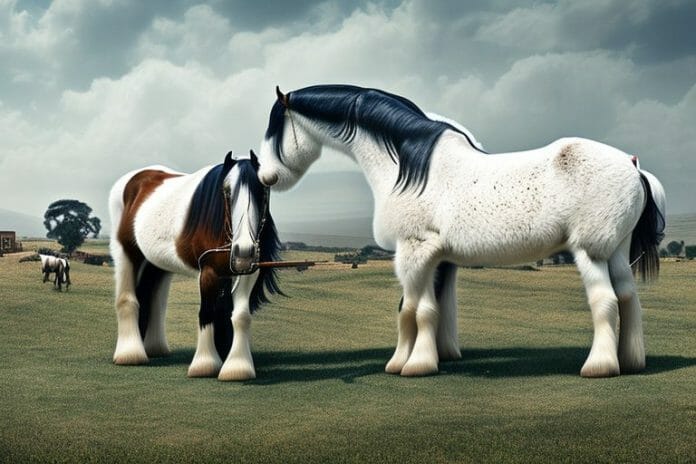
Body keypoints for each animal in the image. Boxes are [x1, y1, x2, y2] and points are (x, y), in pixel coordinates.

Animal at [108, 151, 281, 381]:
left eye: (262, 192)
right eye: (227, 192)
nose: (244, 251)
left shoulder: (247, 273)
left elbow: (240, 316)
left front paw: (237, 367)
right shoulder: (208, 272)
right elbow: (206, 313)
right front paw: (205, 365)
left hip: (157, 263)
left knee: (153, 298)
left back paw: (154, 348)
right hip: (126, 252)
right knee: (127, 299)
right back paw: (130, 354)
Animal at [256, 84, 666, 378]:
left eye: (275, 130)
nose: (266, 177)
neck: (407, 167)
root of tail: (633, 165)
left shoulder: (415, 250)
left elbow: (416, 309)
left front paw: (412, 366)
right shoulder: (436, 258)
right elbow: (425, 309)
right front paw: (419, 358)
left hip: (589, 252)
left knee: (606, 301)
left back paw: (599, 367)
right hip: (616, 251)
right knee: (628, 298)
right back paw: (631, 363)